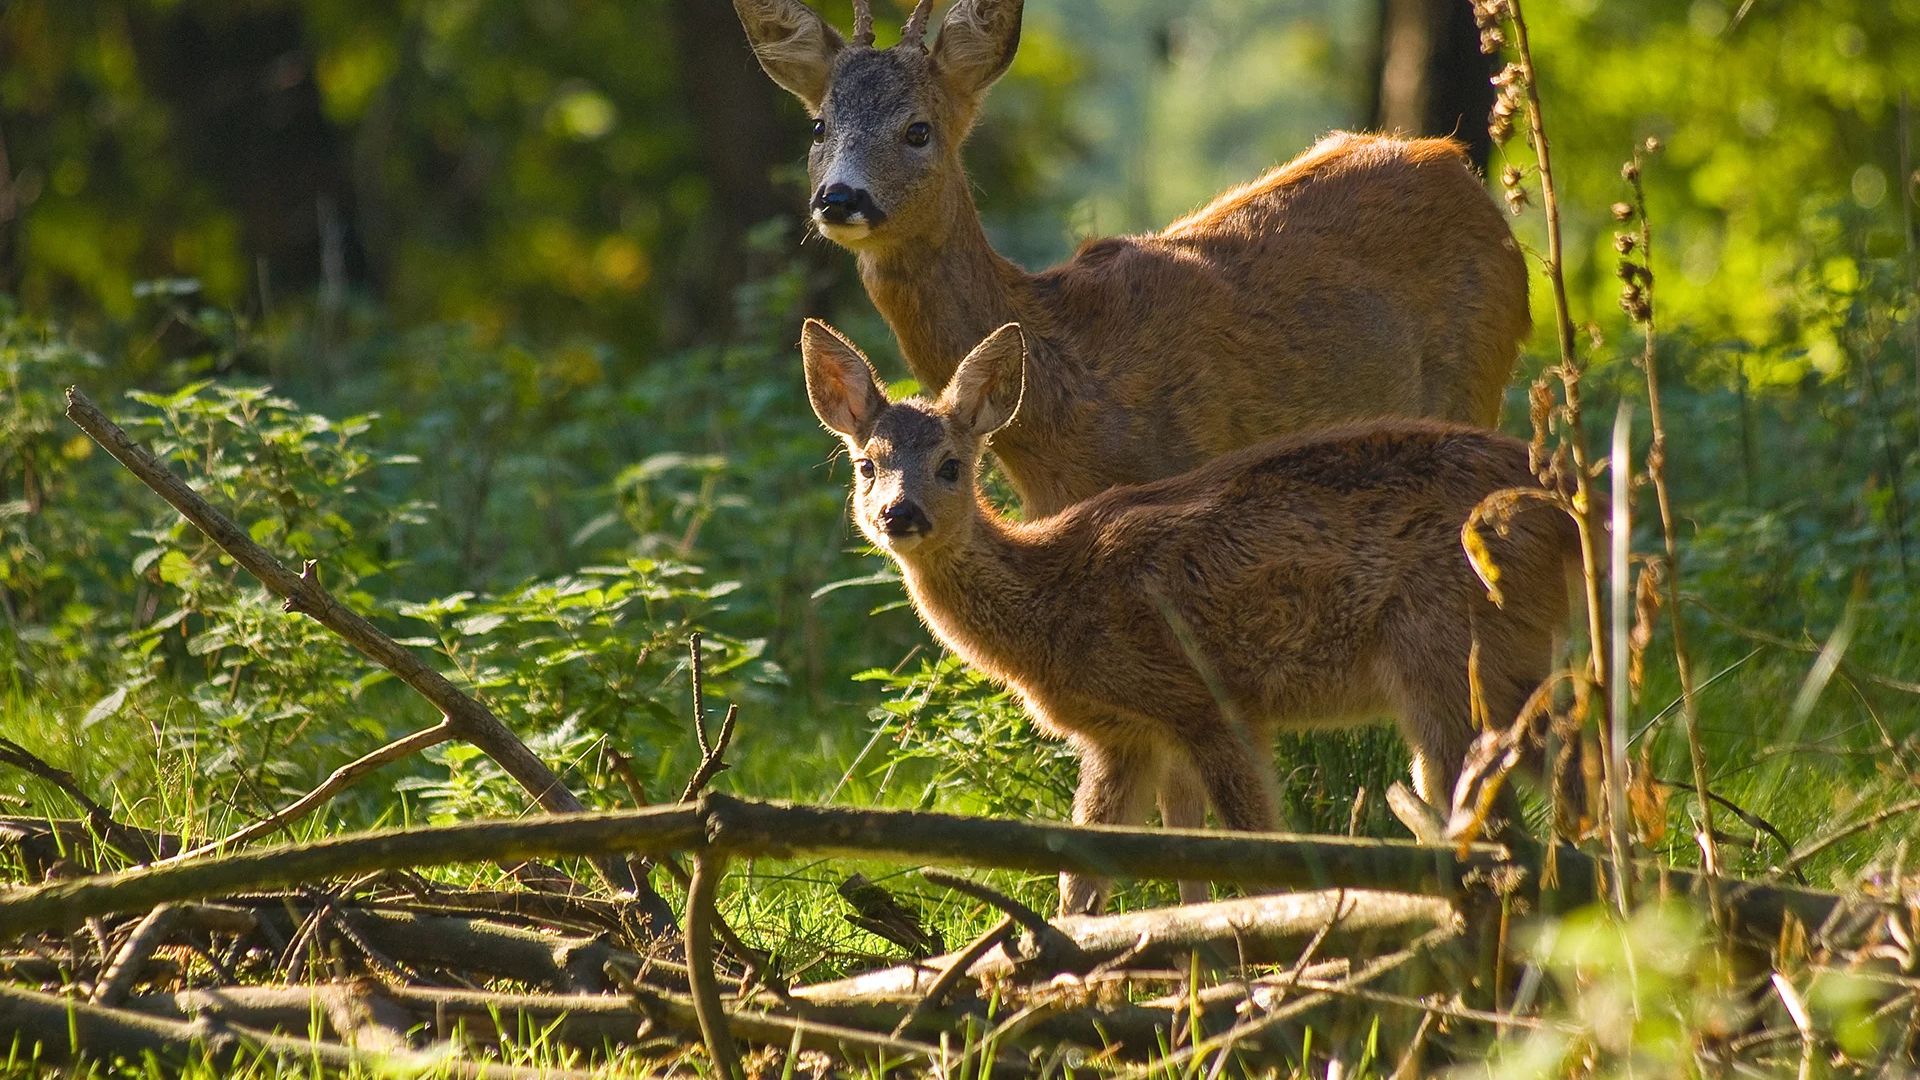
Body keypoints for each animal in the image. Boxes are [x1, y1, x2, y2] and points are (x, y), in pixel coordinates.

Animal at [802, 319, 1566, 907]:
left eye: (951, 465)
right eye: (867, 466)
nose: (901, 513)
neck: (1055, 594)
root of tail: (1574, 513)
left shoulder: (1208, 701)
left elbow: (1261, 854)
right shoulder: (1125, 737)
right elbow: (1100, 875)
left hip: (1446, 651)